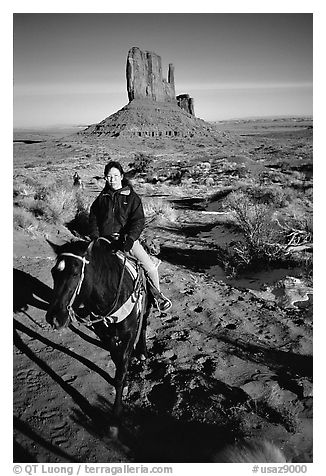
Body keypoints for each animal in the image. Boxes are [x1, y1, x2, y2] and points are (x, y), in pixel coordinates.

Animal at [45, 238, 152, 432]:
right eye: (53, 273)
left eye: (75, 273)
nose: (54, 318)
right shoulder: (104, 333)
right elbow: (117, 360)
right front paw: (124, 383)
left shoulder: (129, 334)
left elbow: (122, 367)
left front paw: (115, 418)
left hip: (146, 309)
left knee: (144, 327)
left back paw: (143, 352)